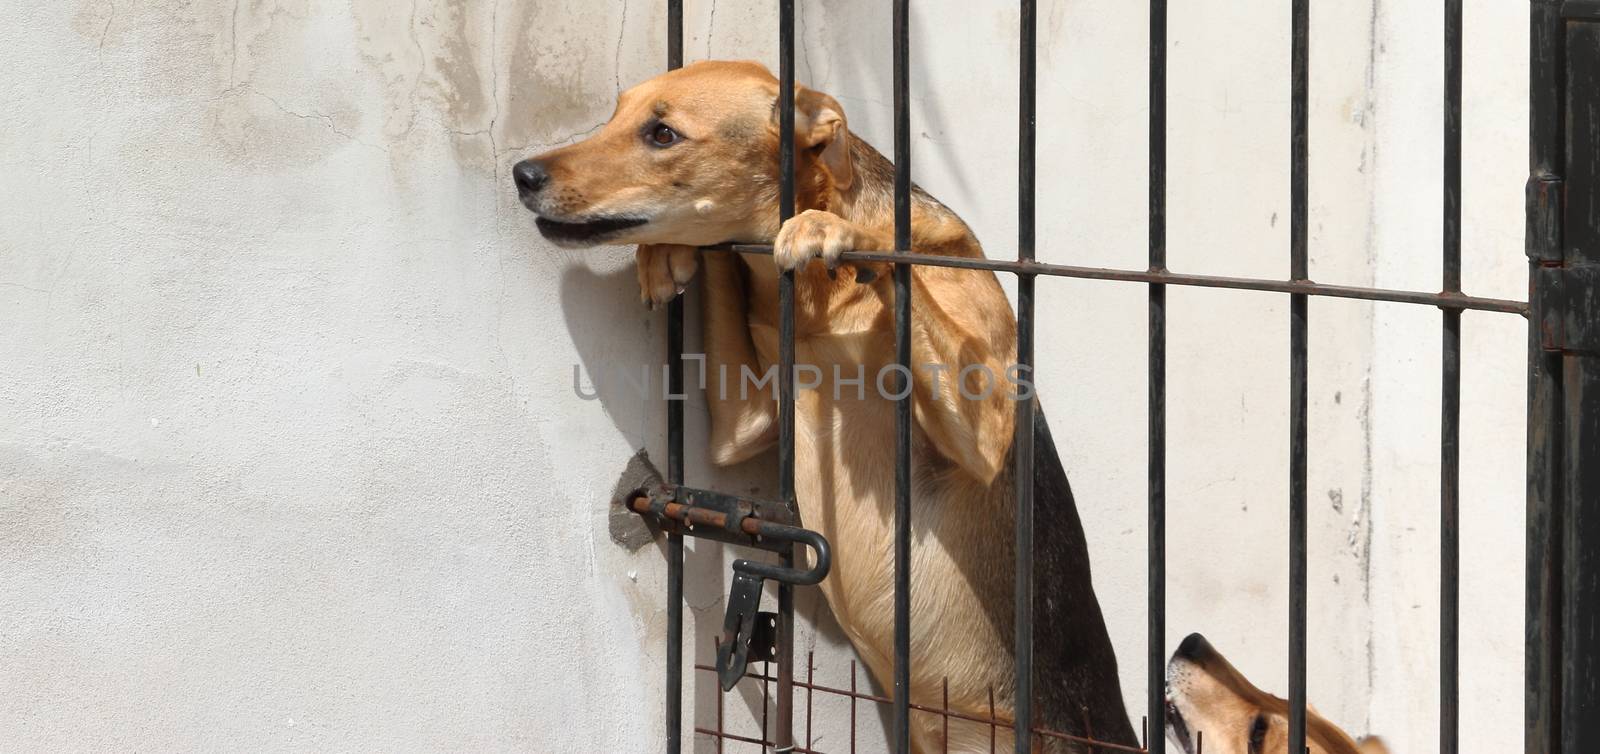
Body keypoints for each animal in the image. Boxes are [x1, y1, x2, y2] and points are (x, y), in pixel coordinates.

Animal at [518, 62, 1132, 752]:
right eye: (615, 114)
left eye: (663, 133)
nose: (522, 174)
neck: (822, 306)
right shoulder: (744, 423)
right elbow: (721, 266)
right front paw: (667, 255)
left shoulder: (990, 430)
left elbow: (894, 257)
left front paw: (835, 230)